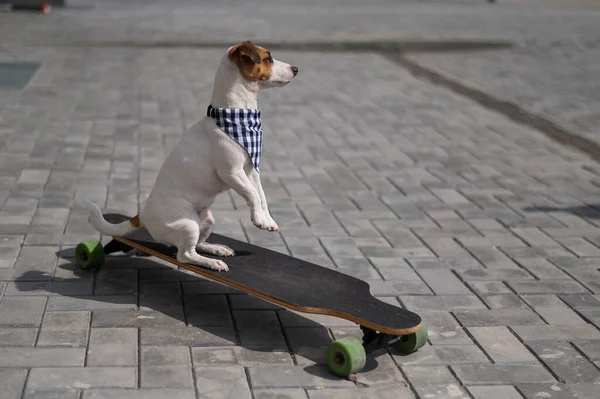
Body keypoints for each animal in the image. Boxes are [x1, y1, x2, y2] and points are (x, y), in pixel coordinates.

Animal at [86, 40, 298, 272]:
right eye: (268, 58)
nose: (296, 69)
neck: (235, 115)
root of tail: (143, 214)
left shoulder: (252, 170)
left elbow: (261, 196)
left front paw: (267, 219)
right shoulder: (231, 172)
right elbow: (252, 194)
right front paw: (259, 219)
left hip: (206, 221)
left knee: (197, 245)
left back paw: (216, 249)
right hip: (188, 224)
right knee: (185, 255)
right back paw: (212, 262)